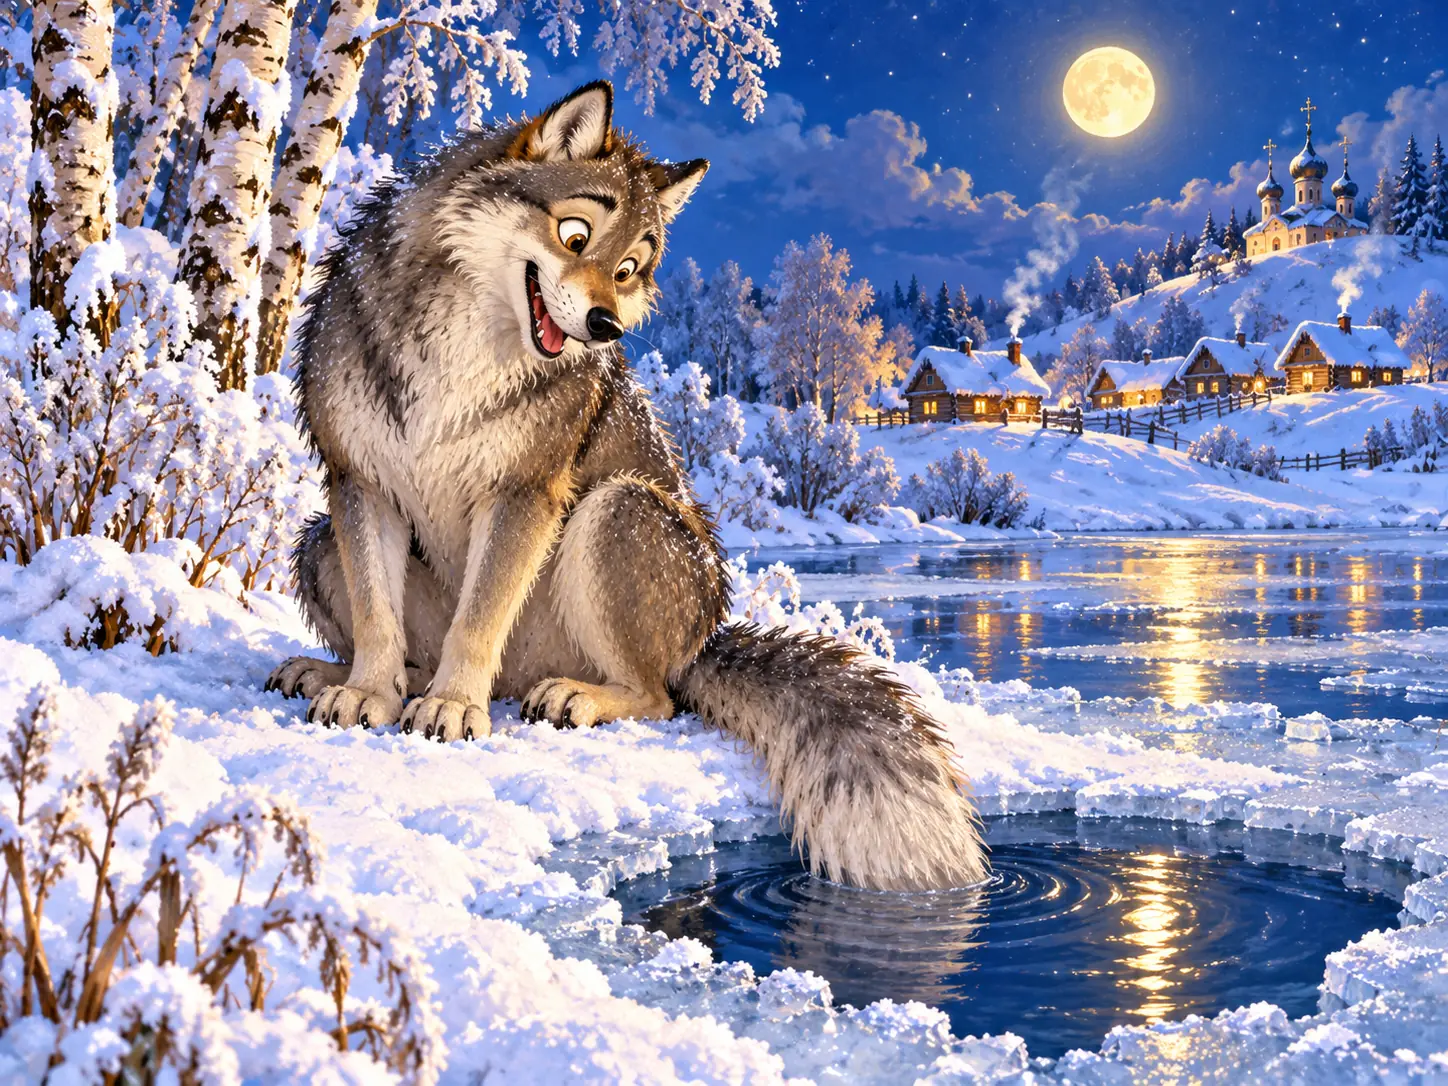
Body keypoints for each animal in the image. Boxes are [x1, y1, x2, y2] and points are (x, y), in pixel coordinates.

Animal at [266, 81, 987, 891]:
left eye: (630, 268)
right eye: (575, 235)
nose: (606, 326)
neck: (460, 347)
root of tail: (701, 641)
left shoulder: (524, 491)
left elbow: (478, 618)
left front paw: (451, 708)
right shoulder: (359, 482)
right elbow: (377, 617)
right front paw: (369, 693)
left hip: (618, 509)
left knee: (659, 697)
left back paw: (567, 696)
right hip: (316, 538)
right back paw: (342, 673)